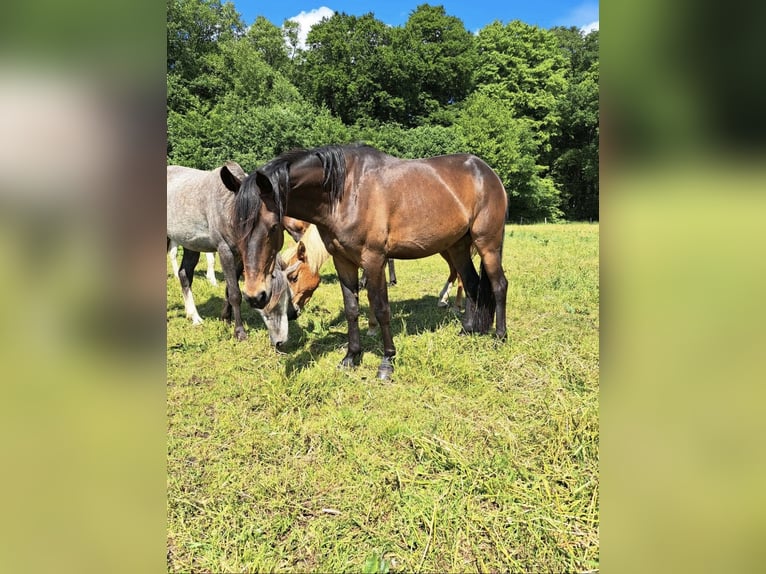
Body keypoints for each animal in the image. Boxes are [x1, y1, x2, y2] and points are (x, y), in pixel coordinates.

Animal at [168, 164, 300, 348]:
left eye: (274, 226)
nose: (294, 314)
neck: (227, 208)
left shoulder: (239, 257)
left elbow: (229, 289)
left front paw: (226, 318)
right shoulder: (225, 251)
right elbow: (235, 293)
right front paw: (239, 332)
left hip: (190, 244)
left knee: (184, 275)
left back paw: (193, 316)